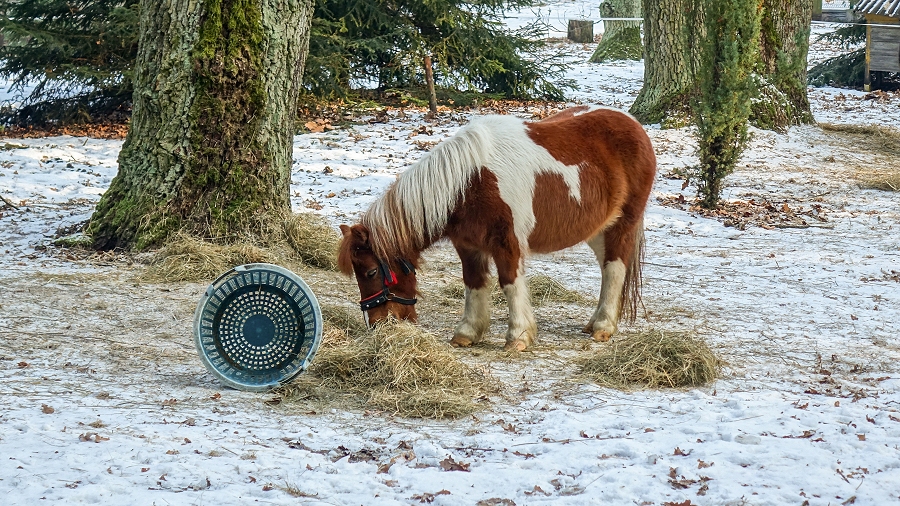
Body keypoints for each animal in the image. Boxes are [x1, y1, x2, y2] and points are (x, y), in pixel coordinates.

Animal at [338, 105, 652, 352]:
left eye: (370, 272)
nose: (377, 324)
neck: (470, 183)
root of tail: (634, 124)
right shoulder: (468, 245)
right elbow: (473, 283)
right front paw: (467, 333)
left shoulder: (507, 243)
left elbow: (510, 284)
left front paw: (518, 337)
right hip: (598, 231)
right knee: (607, 268)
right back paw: (593, 322)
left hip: (622, 224)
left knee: (615, 269)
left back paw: (603, 327)